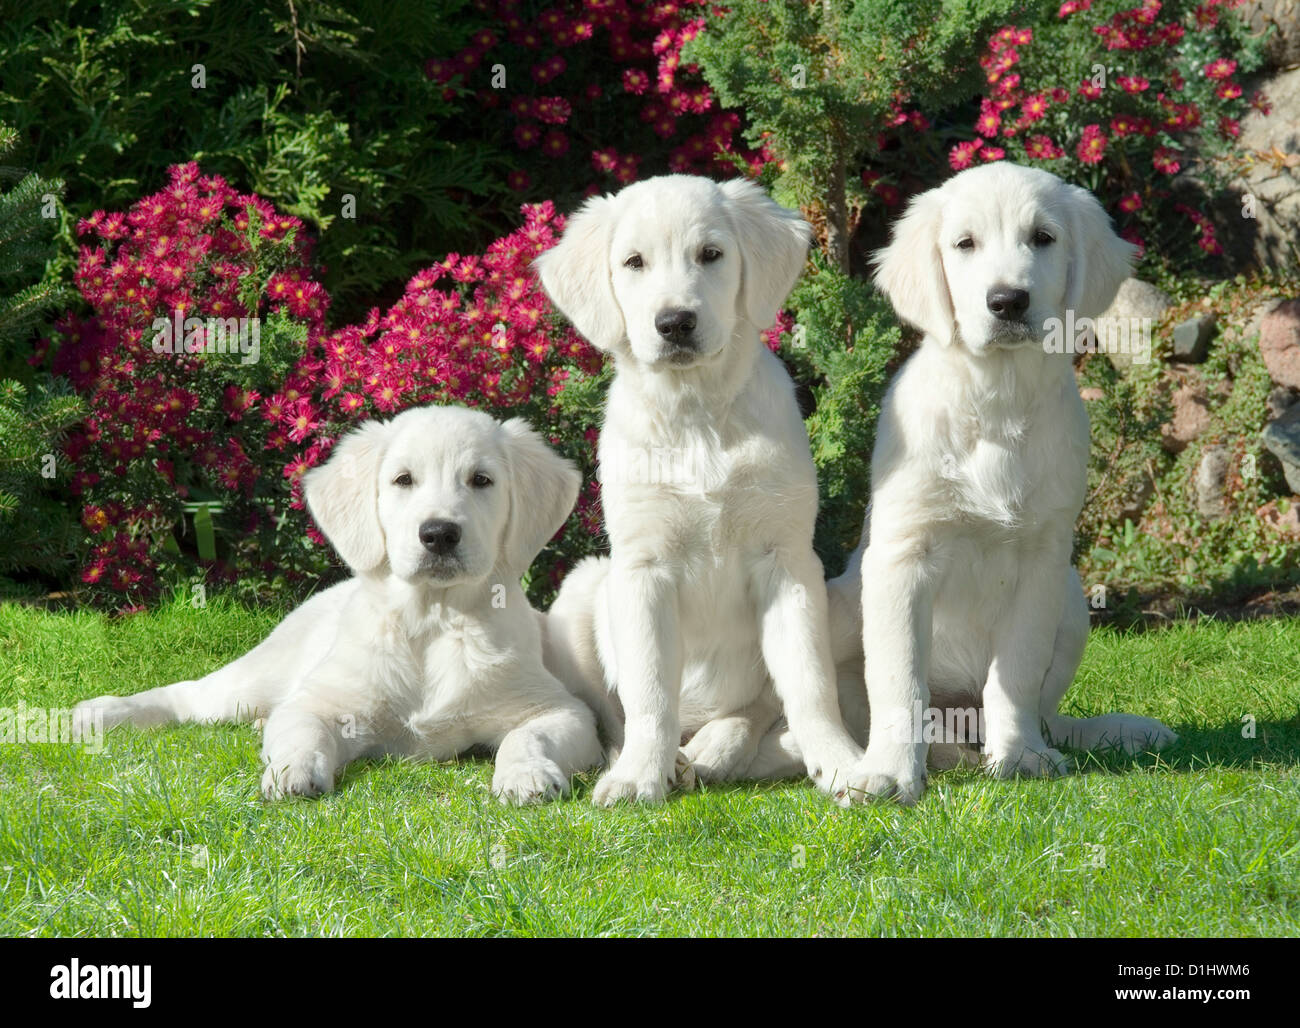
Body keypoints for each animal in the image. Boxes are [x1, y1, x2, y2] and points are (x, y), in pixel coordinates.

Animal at [71, 405, 598, 805]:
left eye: (482, 480)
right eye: (403, 480)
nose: (438, 534)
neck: (432, 620)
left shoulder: (558, 709)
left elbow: (527, 735)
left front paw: (527, 773)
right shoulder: (323, 702)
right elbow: (302, 731)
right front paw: (293, 769)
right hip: (253, 678)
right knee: (188, 695)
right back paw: (101, 712)